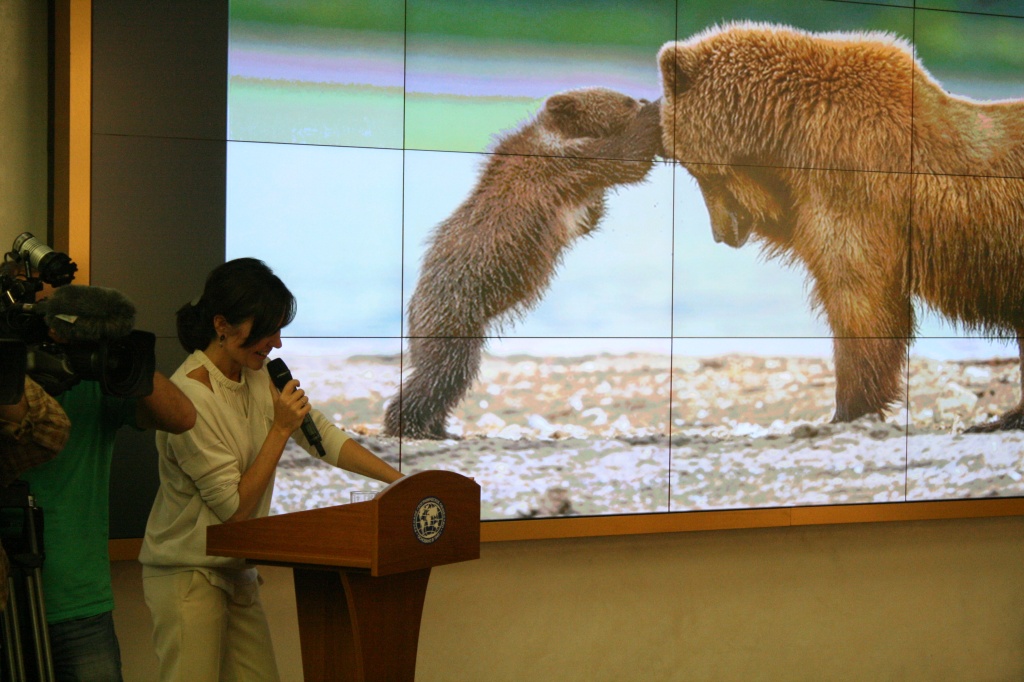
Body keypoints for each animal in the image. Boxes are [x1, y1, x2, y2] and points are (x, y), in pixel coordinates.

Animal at [655, 25, 1024, 430]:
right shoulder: (809, 191)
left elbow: (859, 297)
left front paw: (847, 409)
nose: (723, 233)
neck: (785, 127)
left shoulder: (852, 179)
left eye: (696, 172)